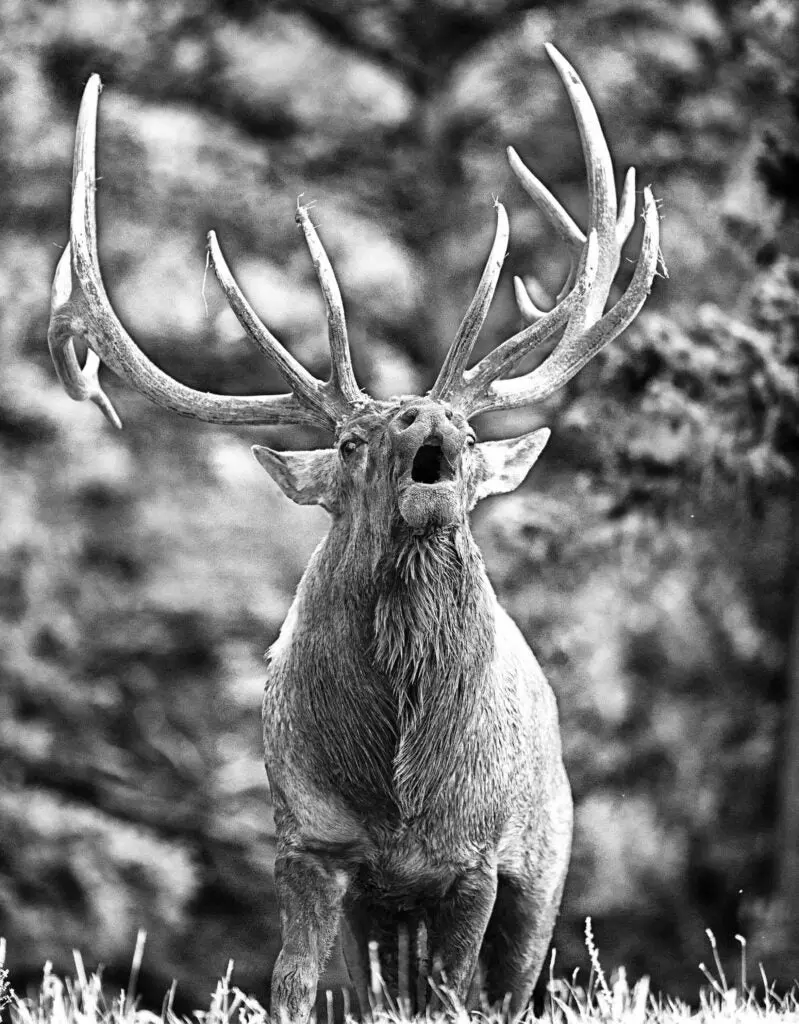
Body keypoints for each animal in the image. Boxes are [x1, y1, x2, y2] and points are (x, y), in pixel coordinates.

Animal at [46, 44, 659, 1024]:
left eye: (468, 434)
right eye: (348, 441)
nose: (427, 417)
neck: (399, 789)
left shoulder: (476, 859)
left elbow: (455, 993)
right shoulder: (309, 842)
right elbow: (293, 983)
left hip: (547, 857)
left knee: (510, 984)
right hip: (382, 912)